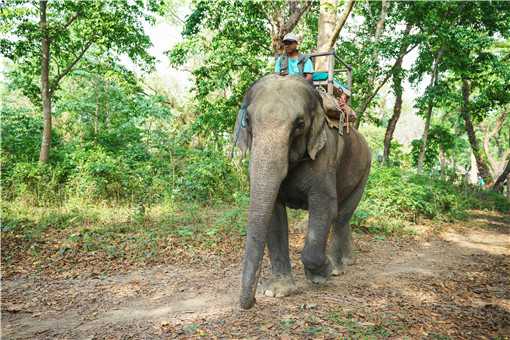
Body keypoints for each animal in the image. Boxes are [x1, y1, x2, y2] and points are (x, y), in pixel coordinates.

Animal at [234, 73, 370, 310]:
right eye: (248, 121)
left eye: (300, 124)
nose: (250, 301)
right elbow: (274, 214)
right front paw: (276, 291)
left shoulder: (325, 154)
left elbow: (325, 206)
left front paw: (321, 273)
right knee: (343, 217)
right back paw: (348, 262)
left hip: (365, 171)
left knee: (341, 215)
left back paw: (336, 268)